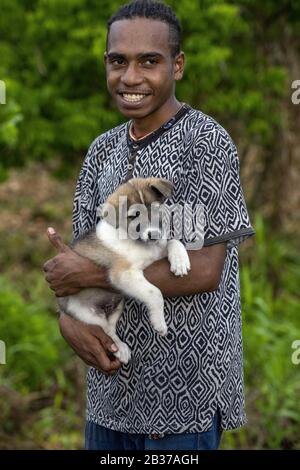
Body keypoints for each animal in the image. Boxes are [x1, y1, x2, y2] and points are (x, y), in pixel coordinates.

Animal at [57, 177, 190, 364]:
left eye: (157, 210)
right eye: (134, 216)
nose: (154, 235)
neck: (140, 243)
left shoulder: (156, 253)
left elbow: (173, 242)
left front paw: (180, 261)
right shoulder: (123, 274)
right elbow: (154, 292)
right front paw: (159, 322)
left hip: (117, 306)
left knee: (110, 327)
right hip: (85, 314)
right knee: (107, 332)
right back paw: (120, 348)